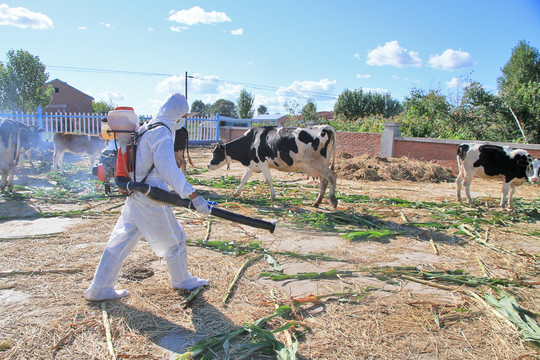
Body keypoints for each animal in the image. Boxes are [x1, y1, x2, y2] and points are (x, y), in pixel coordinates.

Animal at [208, 125, 338, 208]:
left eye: (215, 153)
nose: (208, 165)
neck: (252, 140)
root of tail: (326, 127)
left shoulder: (262, 163)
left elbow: (269, 180)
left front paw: (272, 196)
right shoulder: (253, 164)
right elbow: (243, 179)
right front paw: (236, 193)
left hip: (317, 163)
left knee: (332, 176)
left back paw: (332, 199)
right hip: (321, 164)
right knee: (324, 181)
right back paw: (317, 202)